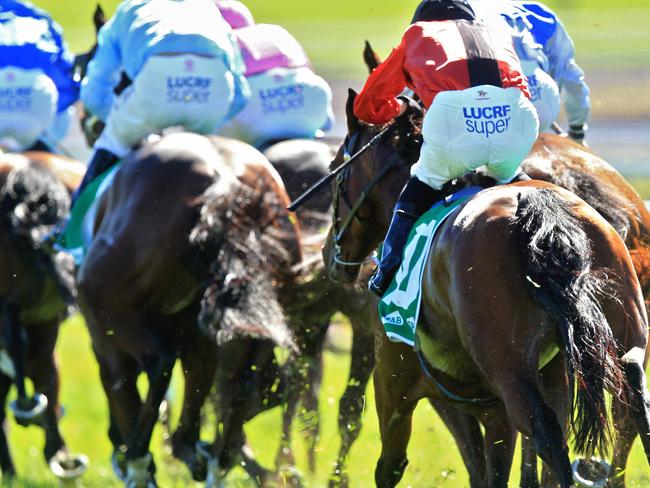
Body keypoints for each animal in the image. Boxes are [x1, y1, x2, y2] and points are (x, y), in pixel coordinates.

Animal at [76, 132, 302, 486]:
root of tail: (226, 182)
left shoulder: (105, 328)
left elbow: (121, 385)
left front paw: (136, 459)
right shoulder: (198, 334)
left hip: (108, 303)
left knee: (159, 363)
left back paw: (140, 459)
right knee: (246, 384)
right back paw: (215, 458)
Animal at [322, 89, 648, 486]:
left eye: (335, 170)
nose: (328, 254)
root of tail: (542, 209)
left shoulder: (396, 381)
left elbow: (392, 465)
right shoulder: (506, 399)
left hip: (509, 370)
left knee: (548, 437)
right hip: (622, 326)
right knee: (633, 400)